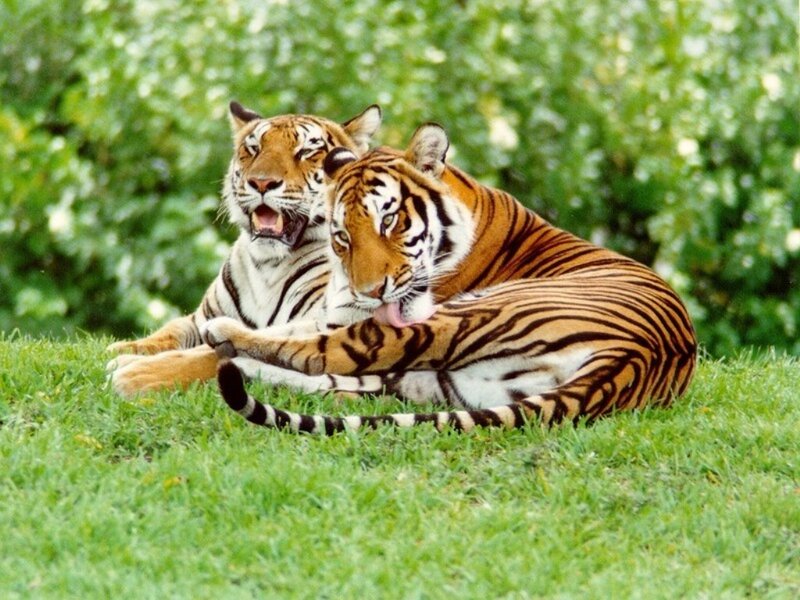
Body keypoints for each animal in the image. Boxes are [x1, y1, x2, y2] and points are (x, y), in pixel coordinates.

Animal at [106, 100, 382, 397]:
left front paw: (134, 374)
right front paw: (122, 349)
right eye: (253, 149)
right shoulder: (203, 318)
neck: (267, 264)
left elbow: (213, 354)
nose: (261, 182)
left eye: (306, 152)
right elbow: (170, 331)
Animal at [201, 122, 698, 433]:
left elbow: (301, 338)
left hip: (465, 314)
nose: (369, 291)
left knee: (325, 358)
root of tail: (631, 360)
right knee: (347, 381)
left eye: (390, 221)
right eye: (342, 235)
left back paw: (226, 341)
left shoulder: (352, 315)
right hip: (441, 381)